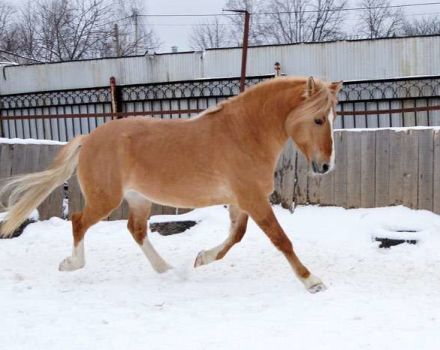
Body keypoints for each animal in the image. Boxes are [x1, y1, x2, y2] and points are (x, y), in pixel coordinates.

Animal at [0, 76, 342, 292]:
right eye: (317, 119)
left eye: (332, 118)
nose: (325, 166)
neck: (243, 132)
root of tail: (89, 138)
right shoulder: (252, 198)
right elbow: (281, 240)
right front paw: (312, 281)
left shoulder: (241, 200)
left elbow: (236, 236)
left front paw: (202, 258)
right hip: (105, 199)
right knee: (78, 221)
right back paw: (70, 264)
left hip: (138, 198)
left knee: (136, 230)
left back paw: (166, 270)